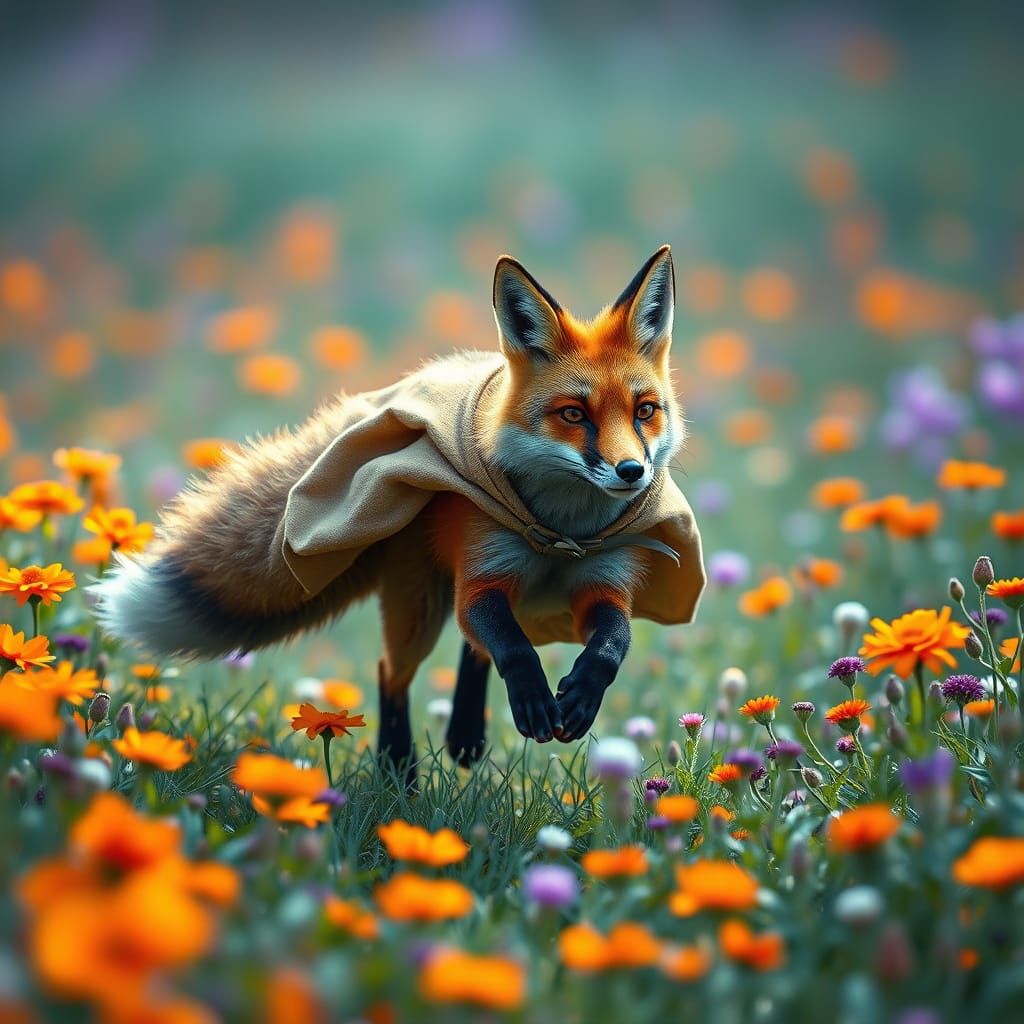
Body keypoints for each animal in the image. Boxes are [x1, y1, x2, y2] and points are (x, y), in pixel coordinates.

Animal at [94, 244, 704, 780]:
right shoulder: (483, 574)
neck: (559, 535)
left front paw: (580, 695)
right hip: (420, 604)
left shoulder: (604, 580)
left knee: (470, 649)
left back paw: (463, 736)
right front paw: (532, 696)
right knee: (398, 670)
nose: (632, 472)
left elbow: (611, 643)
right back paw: (398, 773)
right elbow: (510, 645)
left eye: (645, 411)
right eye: (574, 414)